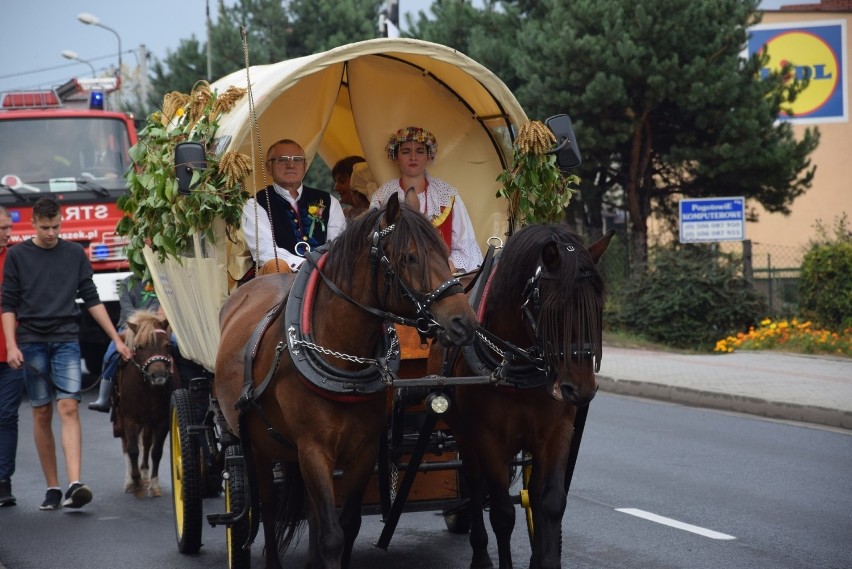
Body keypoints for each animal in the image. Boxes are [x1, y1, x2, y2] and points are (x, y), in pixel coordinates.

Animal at [112, 306, 174, 496]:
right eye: (140, 347)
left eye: (167, 345)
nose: (158, 375)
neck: (148, 389)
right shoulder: (129, 419)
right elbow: (132, 450)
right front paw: (136, 481)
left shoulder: (162, 421)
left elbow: (156, 451)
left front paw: (153, 484)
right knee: (126, 444)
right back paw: (129, 481)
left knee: (147, 444)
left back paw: (145, 474)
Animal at [213, 195, 480, 568]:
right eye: (410, 257)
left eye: (445, 253)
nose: (464, 322)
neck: (342, 358)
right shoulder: (314, 450)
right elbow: (331, 535)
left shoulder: (364, 450)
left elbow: (348, 525)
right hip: (258, 447)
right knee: (267, 509)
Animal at [432, 224, 612, 568]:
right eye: (551, 309)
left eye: (598, 305)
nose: (580, 389)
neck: (516, 361)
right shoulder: (487, 438)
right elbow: (502, 513)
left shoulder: (556, 433)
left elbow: (549, 502)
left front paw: (544, 559)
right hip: (464, 433)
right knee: (474, 484)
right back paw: (480, 555)